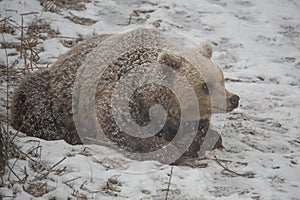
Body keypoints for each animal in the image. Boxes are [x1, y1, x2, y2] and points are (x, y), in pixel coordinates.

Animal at [9, 28, 239, 164]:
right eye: (205, 86)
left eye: (222, 79)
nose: (233, 99)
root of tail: (63, 57)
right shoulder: (121, 97)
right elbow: (121, 129)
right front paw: (168, 149)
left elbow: (197, 129)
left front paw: (204, 138)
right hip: (53, 94)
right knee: (32, 103)